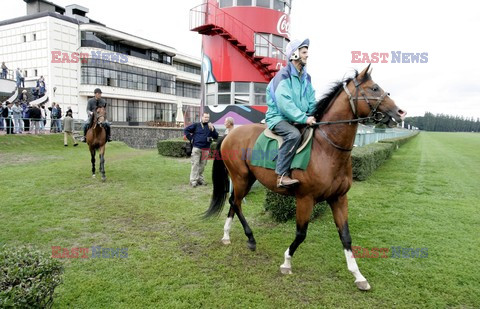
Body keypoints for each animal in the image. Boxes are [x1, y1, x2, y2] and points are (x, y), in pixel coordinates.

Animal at [204, 64, 406, 288]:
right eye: (374, 88)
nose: (400, 112)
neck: (326, 149)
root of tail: (230, 134)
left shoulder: (339, 198)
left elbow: (345, 236)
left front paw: (358, 276)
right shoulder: (305, 199)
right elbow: (301, 234)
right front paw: (286, 263)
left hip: (247, 179)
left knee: (234, 202)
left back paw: (227, 235)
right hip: (241, 177)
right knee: (235, 202)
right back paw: (250, 239)